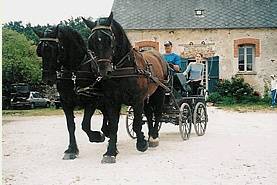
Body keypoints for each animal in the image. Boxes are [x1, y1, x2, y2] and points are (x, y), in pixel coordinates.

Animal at [33, 25, 109, 160]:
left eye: (56, 49)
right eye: (39, 51)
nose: (47, 79)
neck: (74, 71)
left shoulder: (92, 100)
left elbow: (85, 124)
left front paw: (96, 136)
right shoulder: (65, 102)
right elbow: (70, 126)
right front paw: (72, 149)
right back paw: (106, 129)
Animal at [82, 12, 168, 163]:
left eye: (109, 40)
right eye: (91, 43)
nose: (103, 71)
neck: (123, 69)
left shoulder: (137, 100)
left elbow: (137, 123)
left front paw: (141, 143)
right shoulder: (111, 102)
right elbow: (113, 126)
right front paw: (110, 152)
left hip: (160, 93)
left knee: (157, 113)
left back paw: (153, 137)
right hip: (148, 97)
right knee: (149, 114)